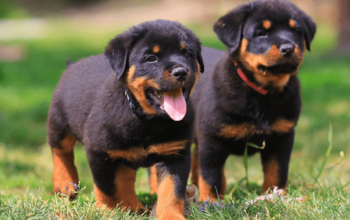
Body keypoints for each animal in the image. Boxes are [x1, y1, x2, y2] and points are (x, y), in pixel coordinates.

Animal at [47, 19, 204, 220]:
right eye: (151, 58)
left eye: (188, 54)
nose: (181, 72)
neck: (148, 120)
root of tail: (72, 65)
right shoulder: (99, 151)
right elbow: (106, 187)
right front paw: (107, 210)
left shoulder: (176, 153)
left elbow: (172, 191)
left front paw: (170, 215)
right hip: (58, 121)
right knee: (60, 150)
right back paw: (65, 182)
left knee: (126, 178)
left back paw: (134, 206)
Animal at [190, 0, 316, 201]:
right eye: (261, 33)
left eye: (297, 31)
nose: (288, 48)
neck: (262, 92)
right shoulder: (212, 140)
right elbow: (212, 177)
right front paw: (211, 202)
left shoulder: (282, 138)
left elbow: (277, 173)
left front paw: (275, 197)